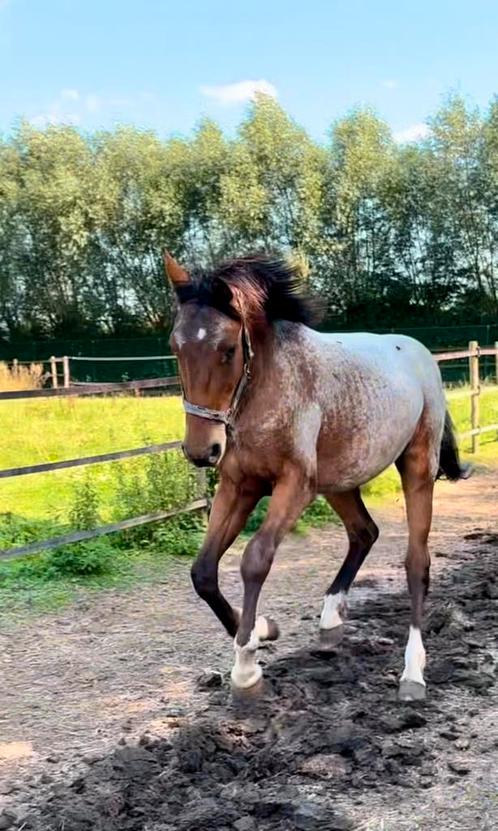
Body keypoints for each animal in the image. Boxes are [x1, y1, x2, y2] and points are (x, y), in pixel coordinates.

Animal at [163, 252, 466, 704]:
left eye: (228, 349)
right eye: (176, 346)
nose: (202, 451)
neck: (266, 389)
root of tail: (422, 354)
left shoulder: (295, 486)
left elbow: (255, 559)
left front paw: (247, 667)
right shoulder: (239, 485)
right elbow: (203, 571)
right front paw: (261, 630)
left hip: (416, 467)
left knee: (417, 561)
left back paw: (413, 673)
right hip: (339, 482)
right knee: (364, 532)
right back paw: (330, 621)